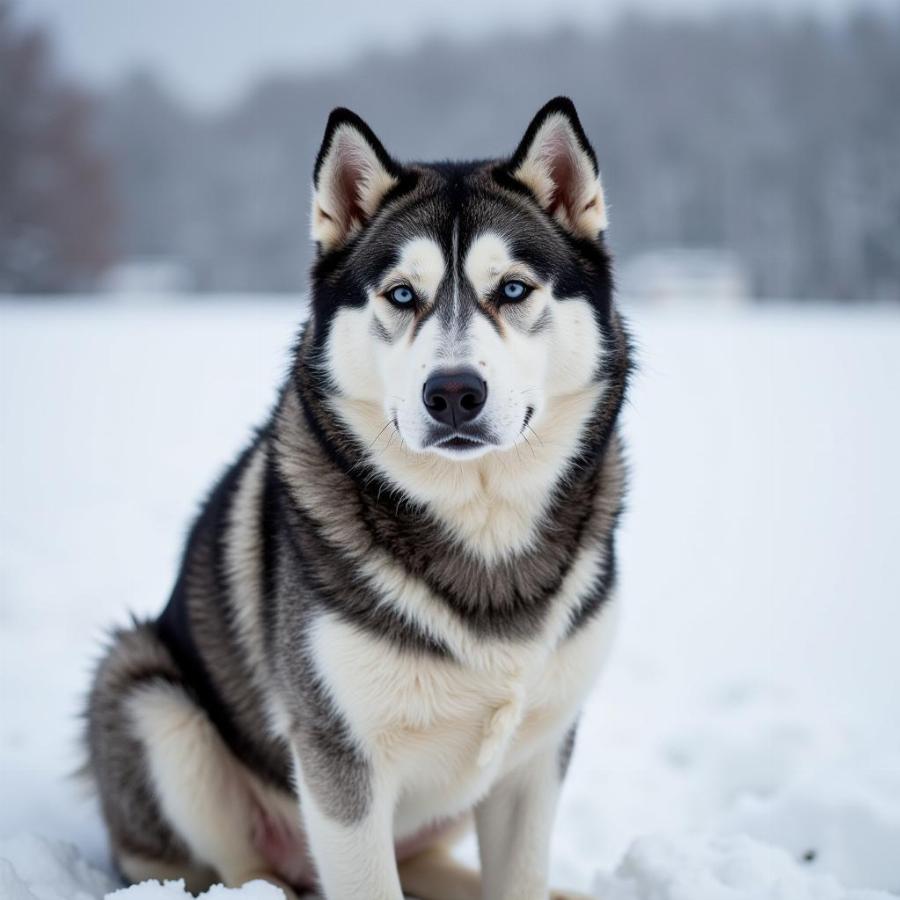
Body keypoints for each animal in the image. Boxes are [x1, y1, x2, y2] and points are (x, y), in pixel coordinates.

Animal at [86, 98, 632, 900]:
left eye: (512, 289)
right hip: (149, 698)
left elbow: (518, 878)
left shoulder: (535, 757)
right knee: (235, 868)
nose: (454, 392)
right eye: (402, 294)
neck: (481, 528)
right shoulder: (339, 756)